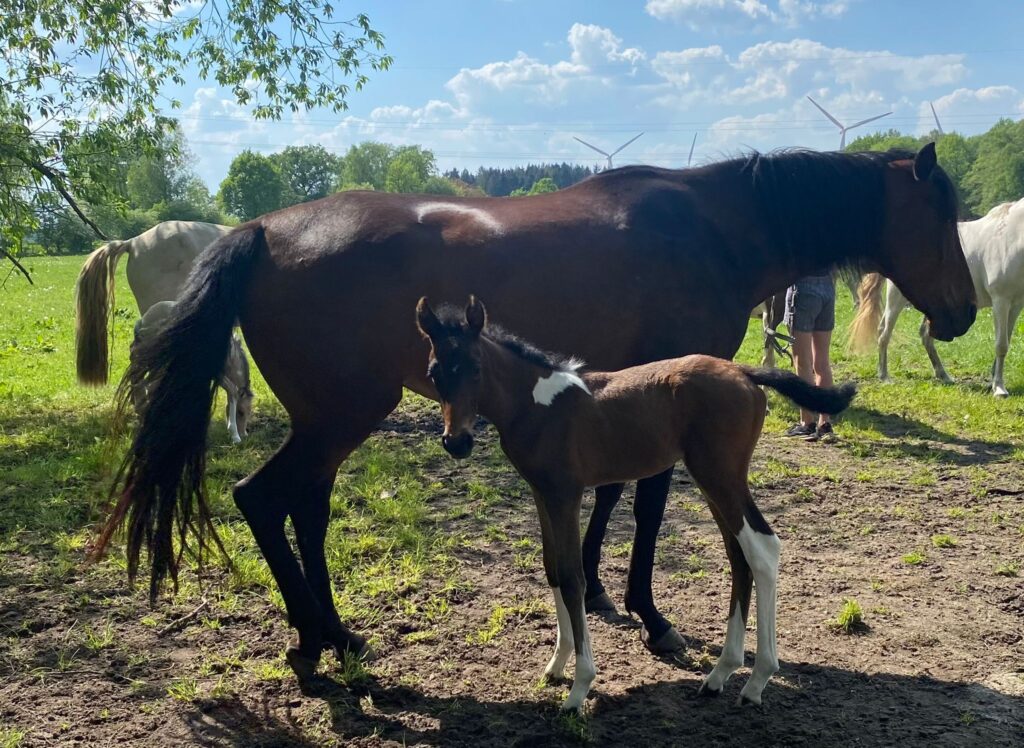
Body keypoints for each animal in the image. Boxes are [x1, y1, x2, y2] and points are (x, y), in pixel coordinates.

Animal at [131, 299, 254, 442]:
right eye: (241, 412)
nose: (244, 435)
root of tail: (143, 320)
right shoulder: (217, 374)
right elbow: (233, 390)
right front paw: (235, 435)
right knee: (144, 384)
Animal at [415, 295, 856, 709]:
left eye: (475, 368)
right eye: (434, 372)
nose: (457, 442)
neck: (536, 404)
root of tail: (744, 372)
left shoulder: (566, 494)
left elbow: (573, 577)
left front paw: (579, 687)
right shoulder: (543, 493)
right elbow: (553, 570)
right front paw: (556, 665)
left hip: (720, 475)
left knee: (763, 548)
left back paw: (757, 680)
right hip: (713, 478)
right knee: (738, 555)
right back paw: (720, 674)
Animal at [847, 197, 1024, 395]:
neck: (1011, 237)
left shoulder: (1016, 304)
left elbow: (1006, 341)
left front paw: (993, 381)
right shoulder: (1001, 301)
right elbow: (1001, 344)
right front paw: (999, 388)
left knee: (924, 335)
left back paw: (943, 375)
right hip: (896, 298)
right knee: (884, 333)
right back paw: (885, 376)